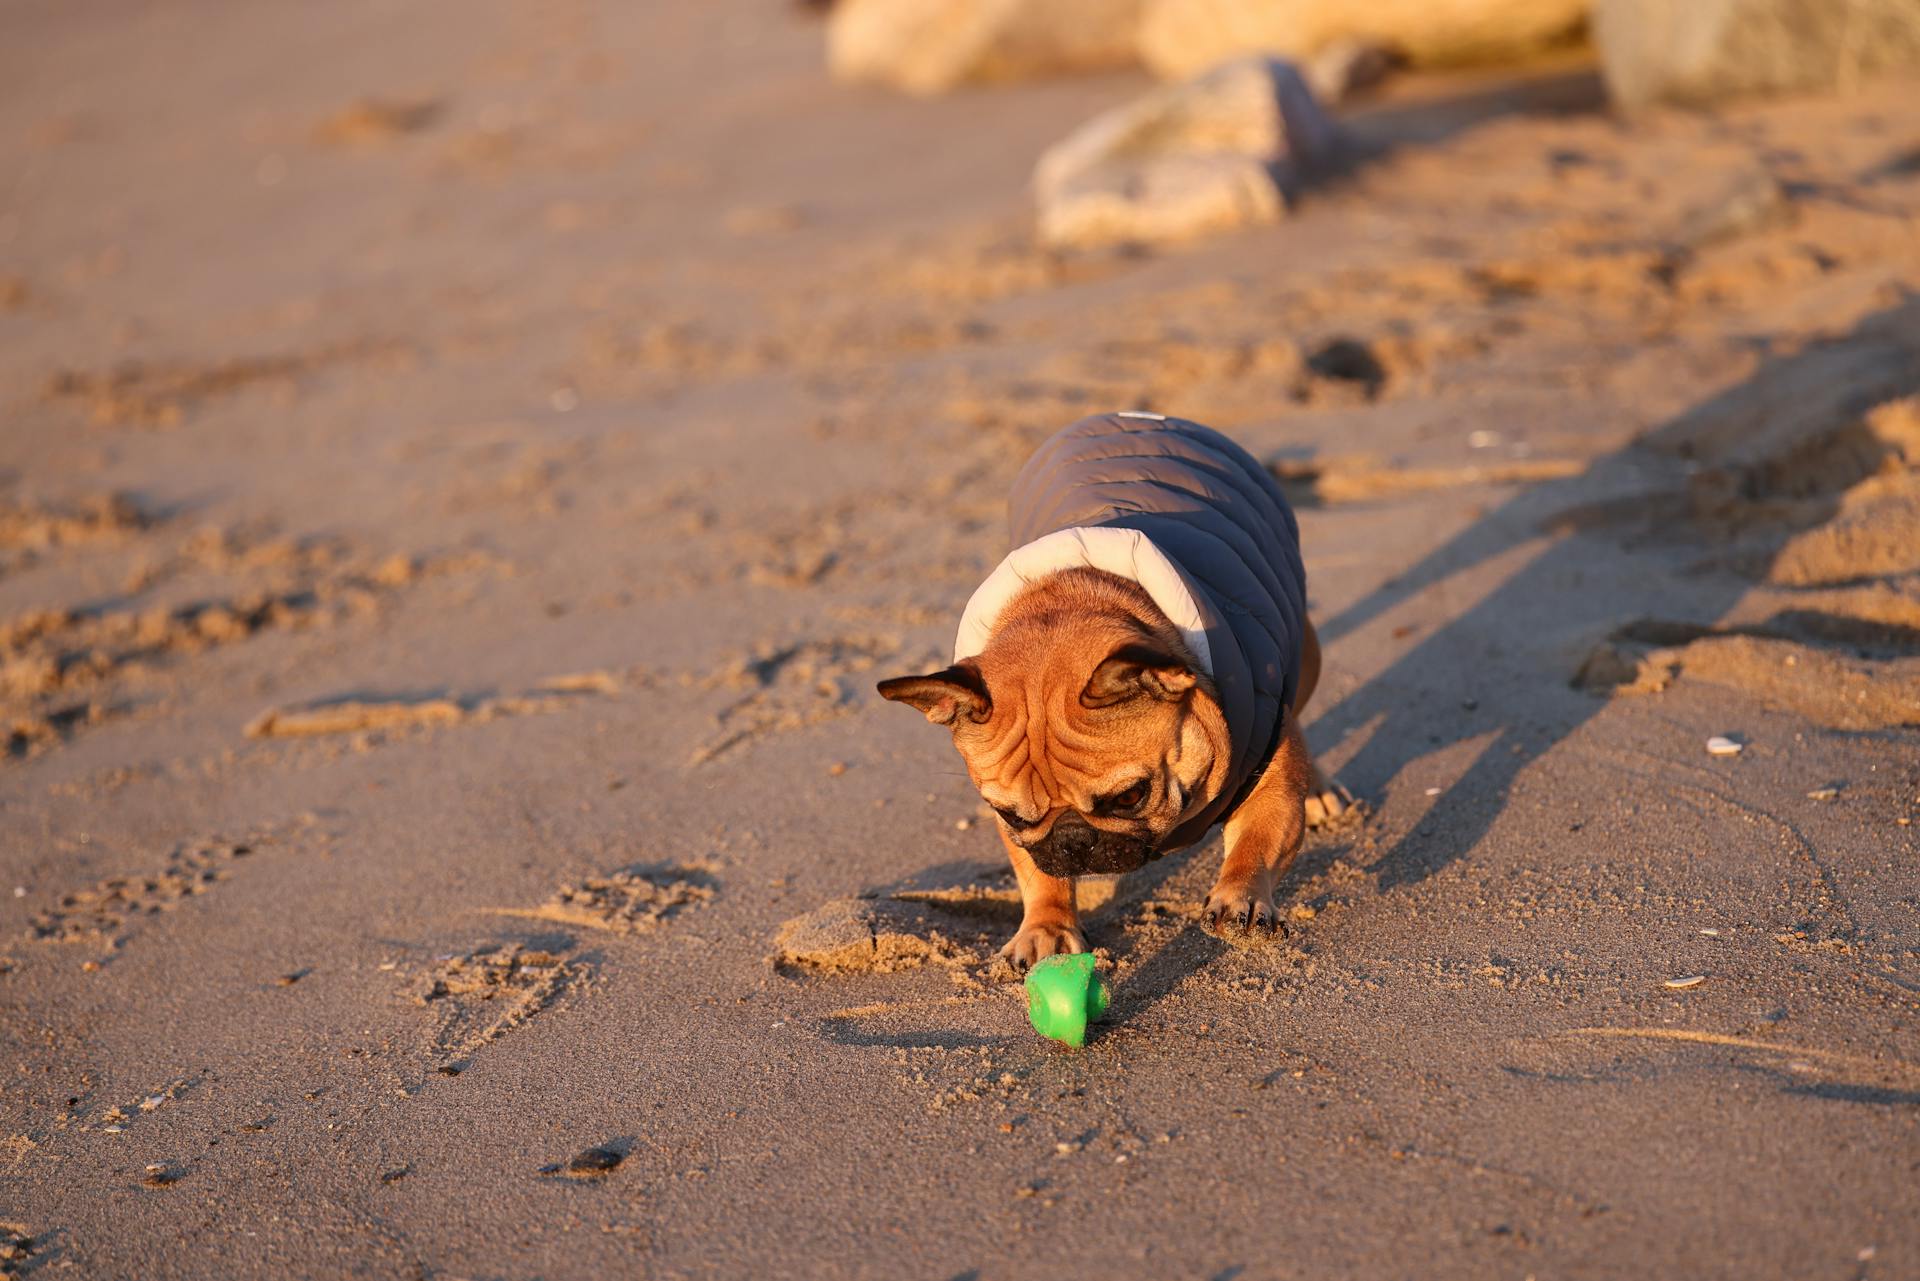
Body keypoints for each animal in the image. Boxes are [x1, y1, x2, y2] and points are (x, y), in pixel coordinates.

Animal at [875, 416, 1351, 967]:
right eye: (1008, 814)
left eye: (1129, 796)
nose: (1072, 841)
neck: (1070, 599)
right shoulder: (1020, 834)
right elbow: (1035, 872)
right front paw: (1046, 927)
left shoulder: (1266, 764)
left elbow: (1258, 838)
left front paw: (1242, 899)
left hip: (1303, 653)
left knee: (1299, 708)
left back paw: (1318, 788)